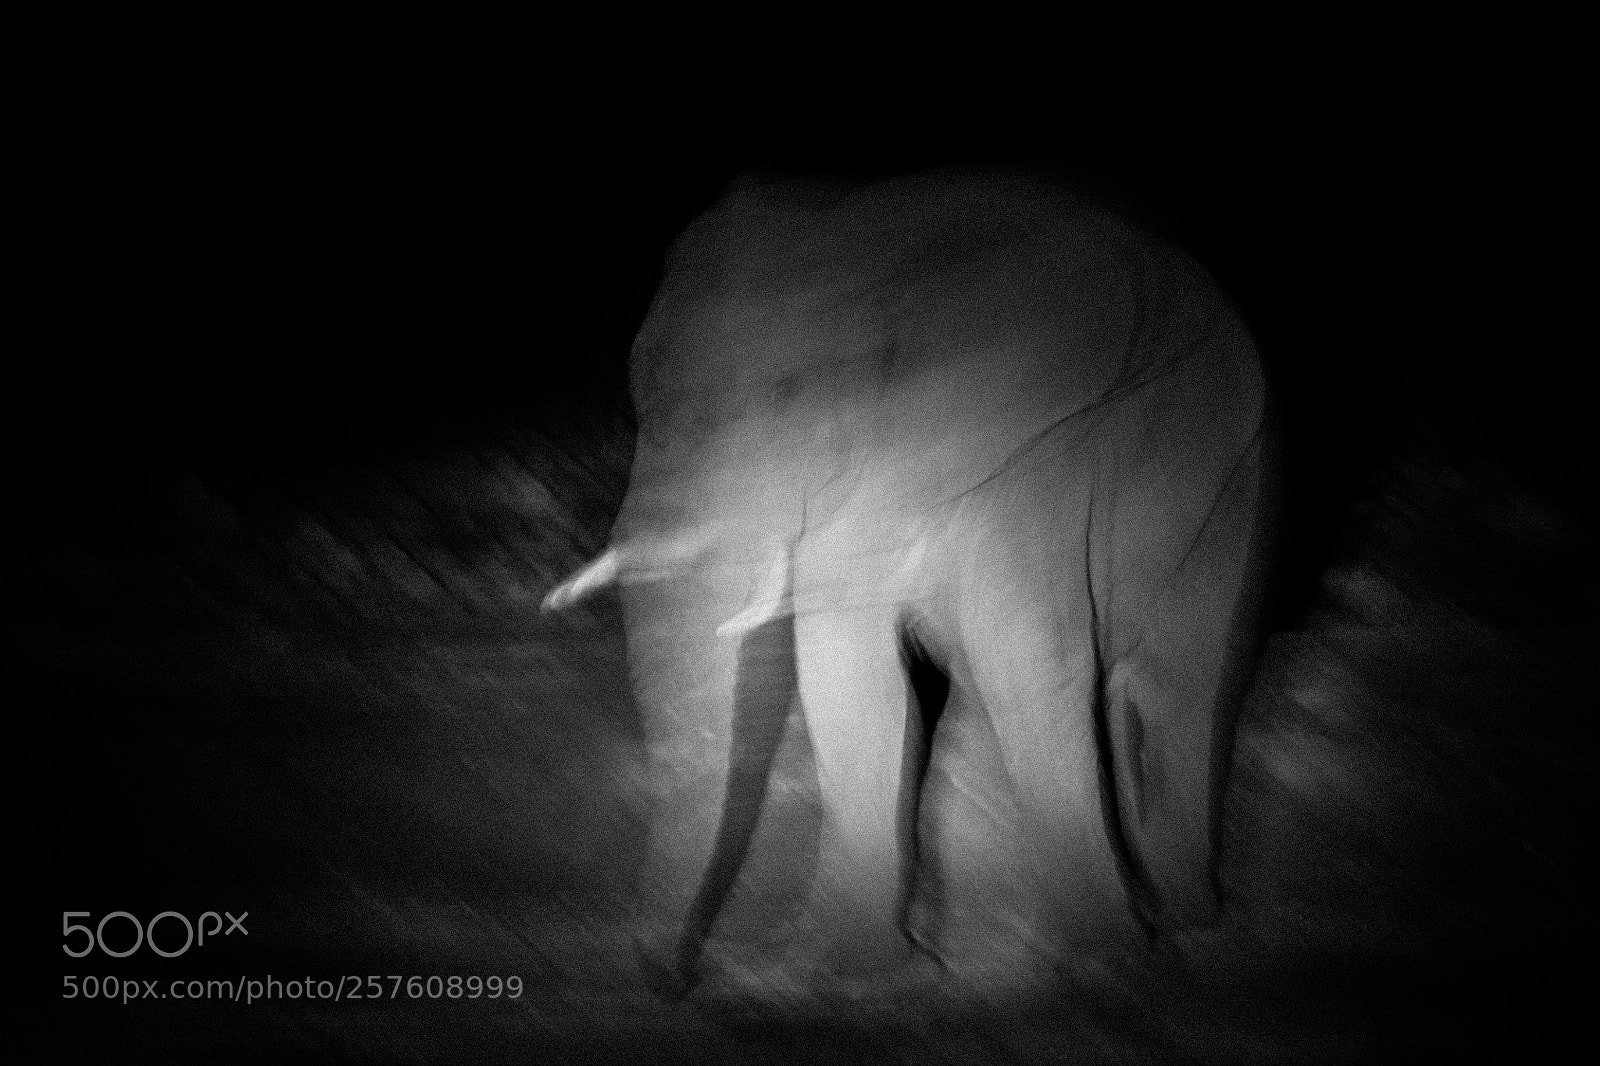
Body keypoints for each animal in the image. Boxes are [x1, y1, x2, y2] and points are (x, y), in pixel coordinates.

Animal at [544, 167, 1278, 997]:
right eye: (641, 394)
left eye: (790, 396)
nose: (683, 981)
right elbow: (848, 685)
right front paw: (846, 972)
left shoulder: (1036, 451)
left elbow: (1031, 661)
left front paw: (1114, 963)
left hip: (1236, 471)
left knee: (1174, 683)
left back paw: (1185, 923)